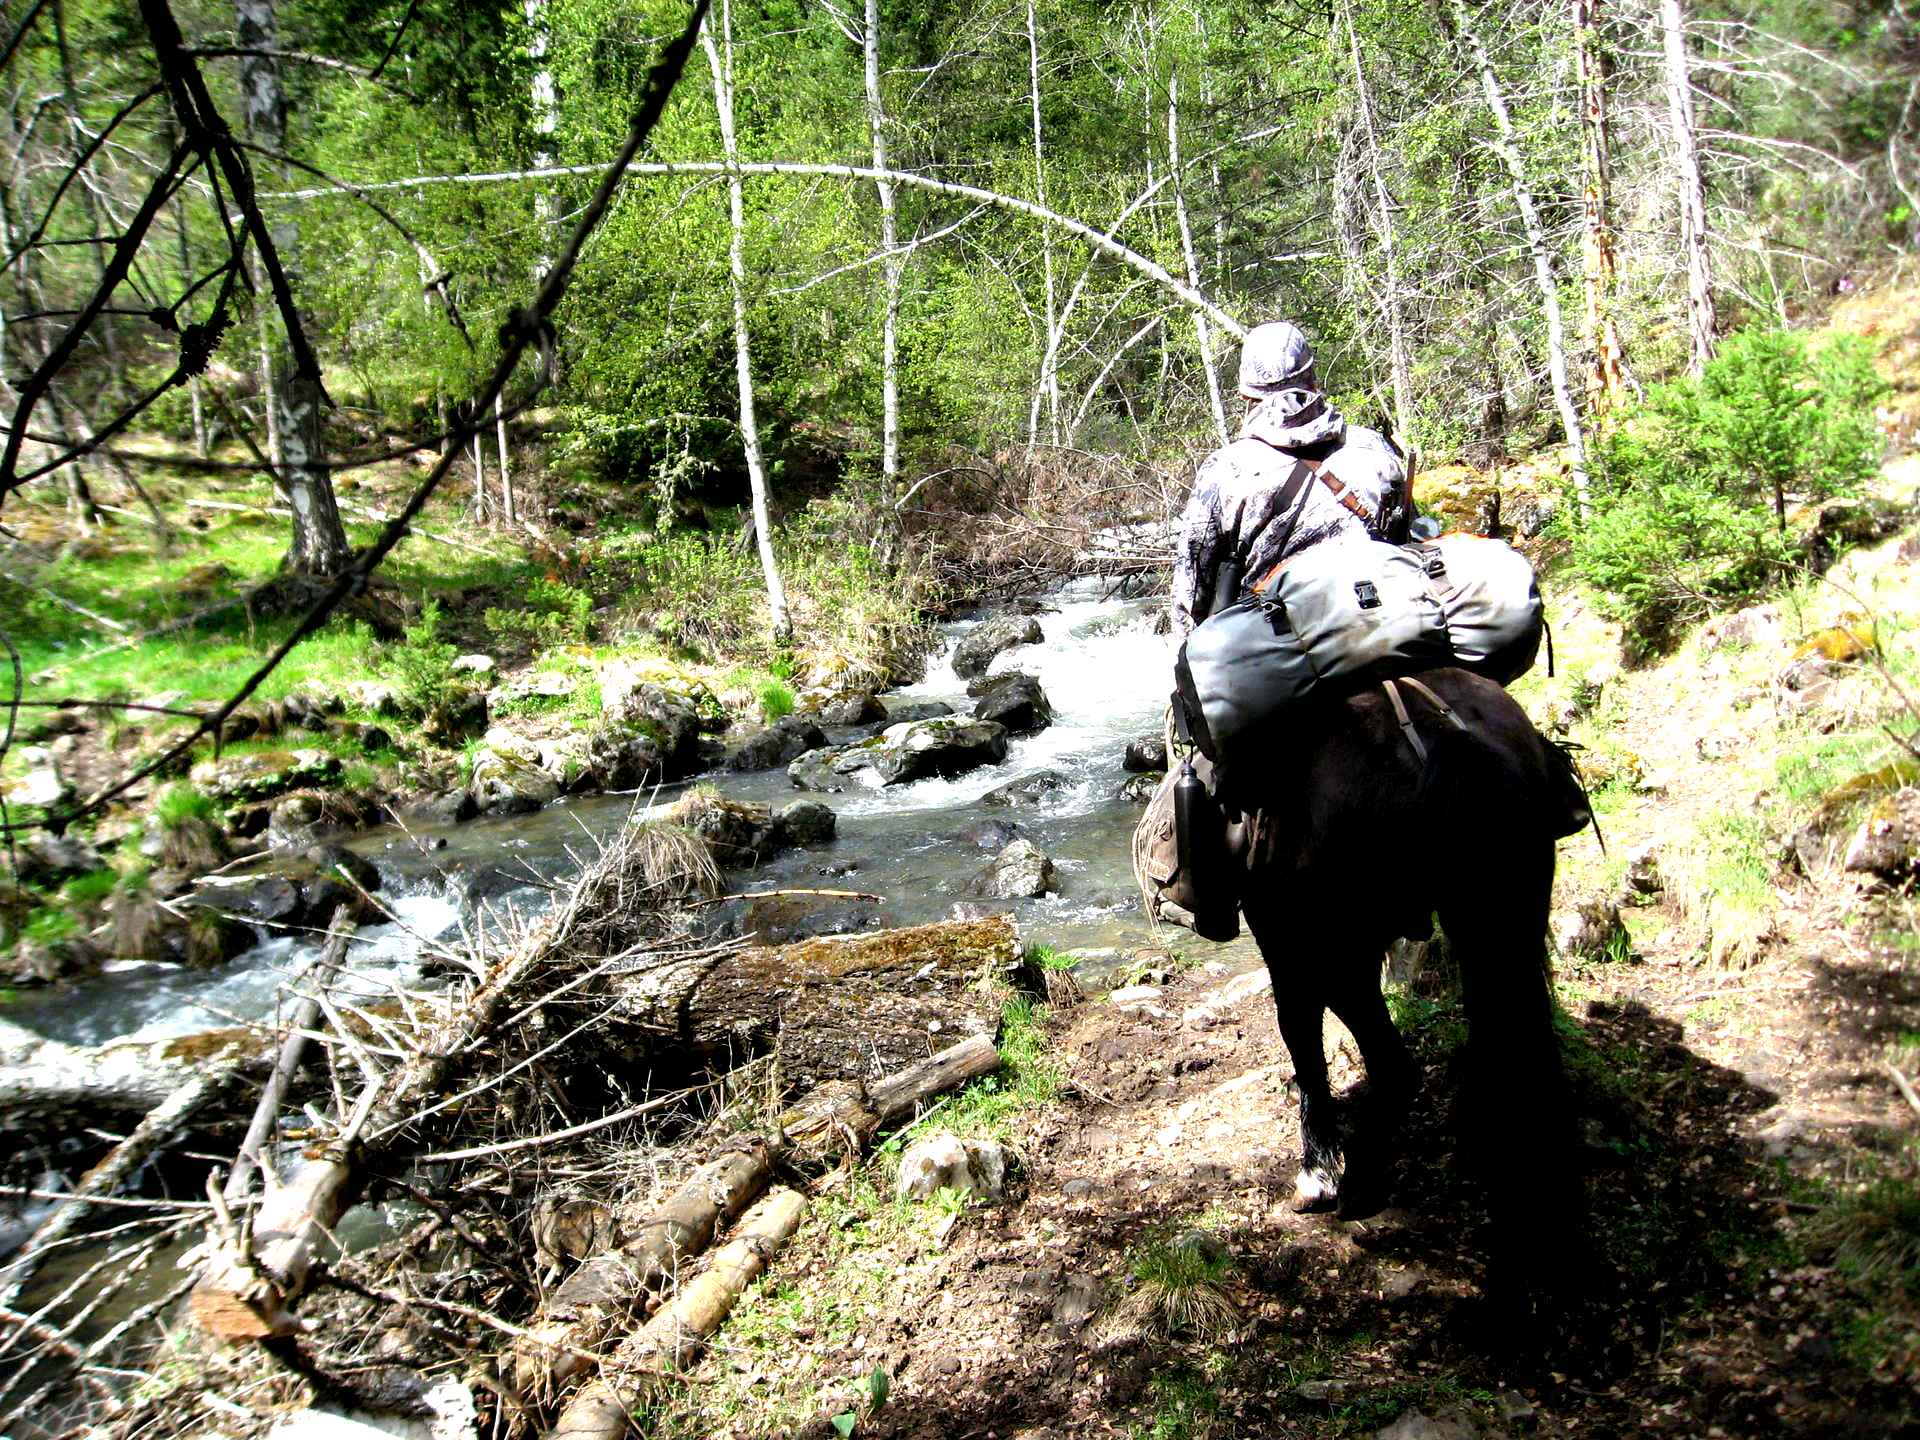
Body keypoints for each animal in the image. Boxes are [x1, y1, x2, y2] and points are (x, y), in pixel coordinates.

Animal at [1236, 664, 1582, 1305]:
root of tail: (1442, 737)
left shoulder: (1290, 941)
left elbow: (1302, 1036)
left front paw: (1317, 1170)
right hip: (1505, 908)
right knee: (1509, 1026)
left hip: (1349, 937)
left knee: (1395, 1060)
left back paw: (1361, 1183)